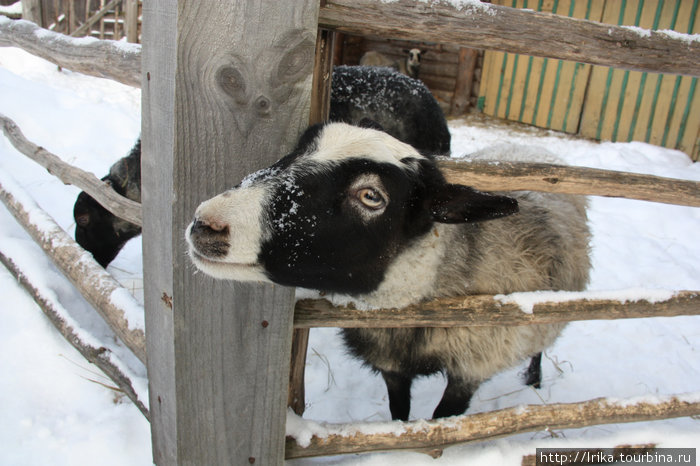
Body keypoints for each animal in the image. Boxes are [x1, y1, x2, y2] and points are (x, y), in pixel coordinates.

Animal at [186, 122, 592, 420]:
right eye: (298, 149)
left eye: (371, 196)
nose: (206, 224)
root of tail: (530, 149)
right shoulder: (392, 368)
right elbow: (400, 416)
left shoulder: (472, 367)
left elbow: (441, 424)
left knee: (540, 344)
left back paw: (534, 379)